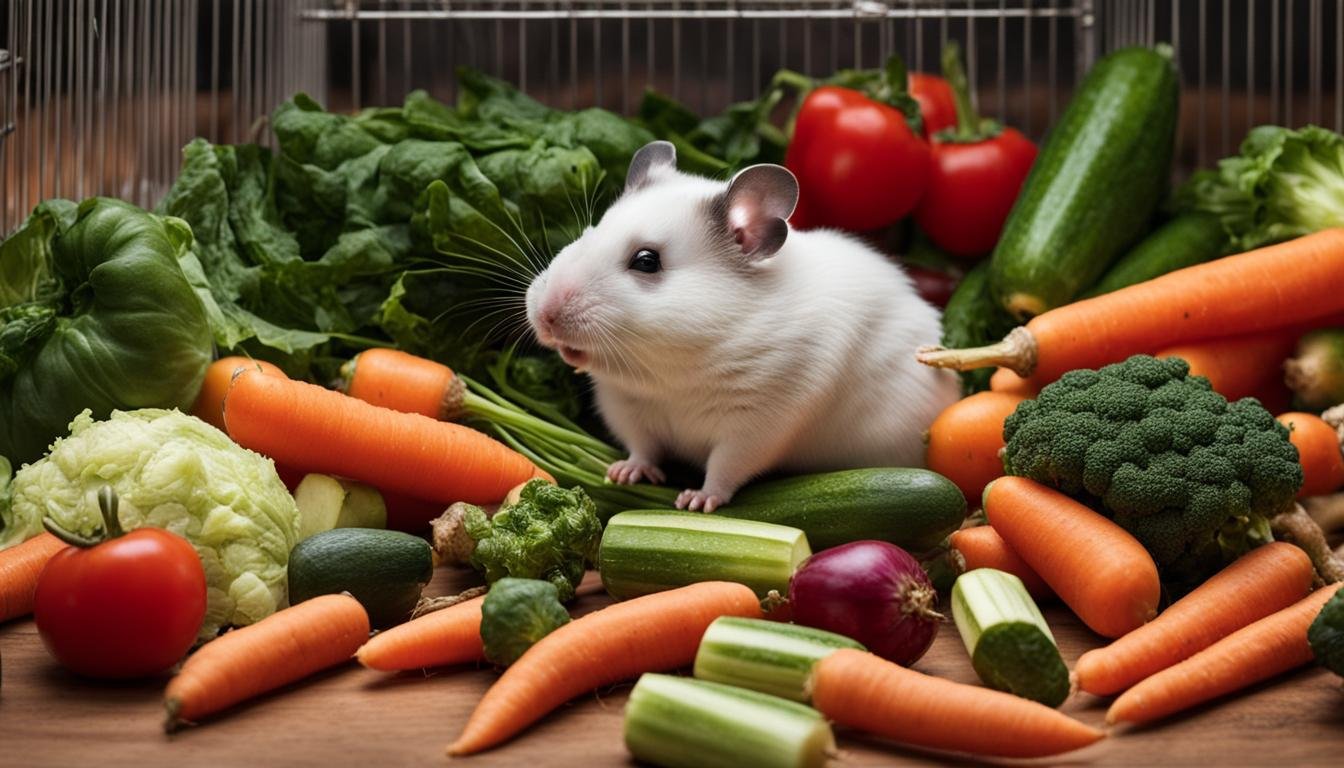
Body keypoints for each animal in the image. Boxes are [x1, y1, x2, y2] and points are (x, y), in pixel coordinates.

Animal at [526, 140, 961, 511]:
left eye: (647, 261)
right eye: (587, 234)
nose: (544, 316)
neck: (669, 372)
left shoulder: (759, 423)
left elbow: (725, 468)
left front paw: (695, 502)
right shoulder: (628, 408)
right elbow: (643, 447)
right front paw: (621, 474)